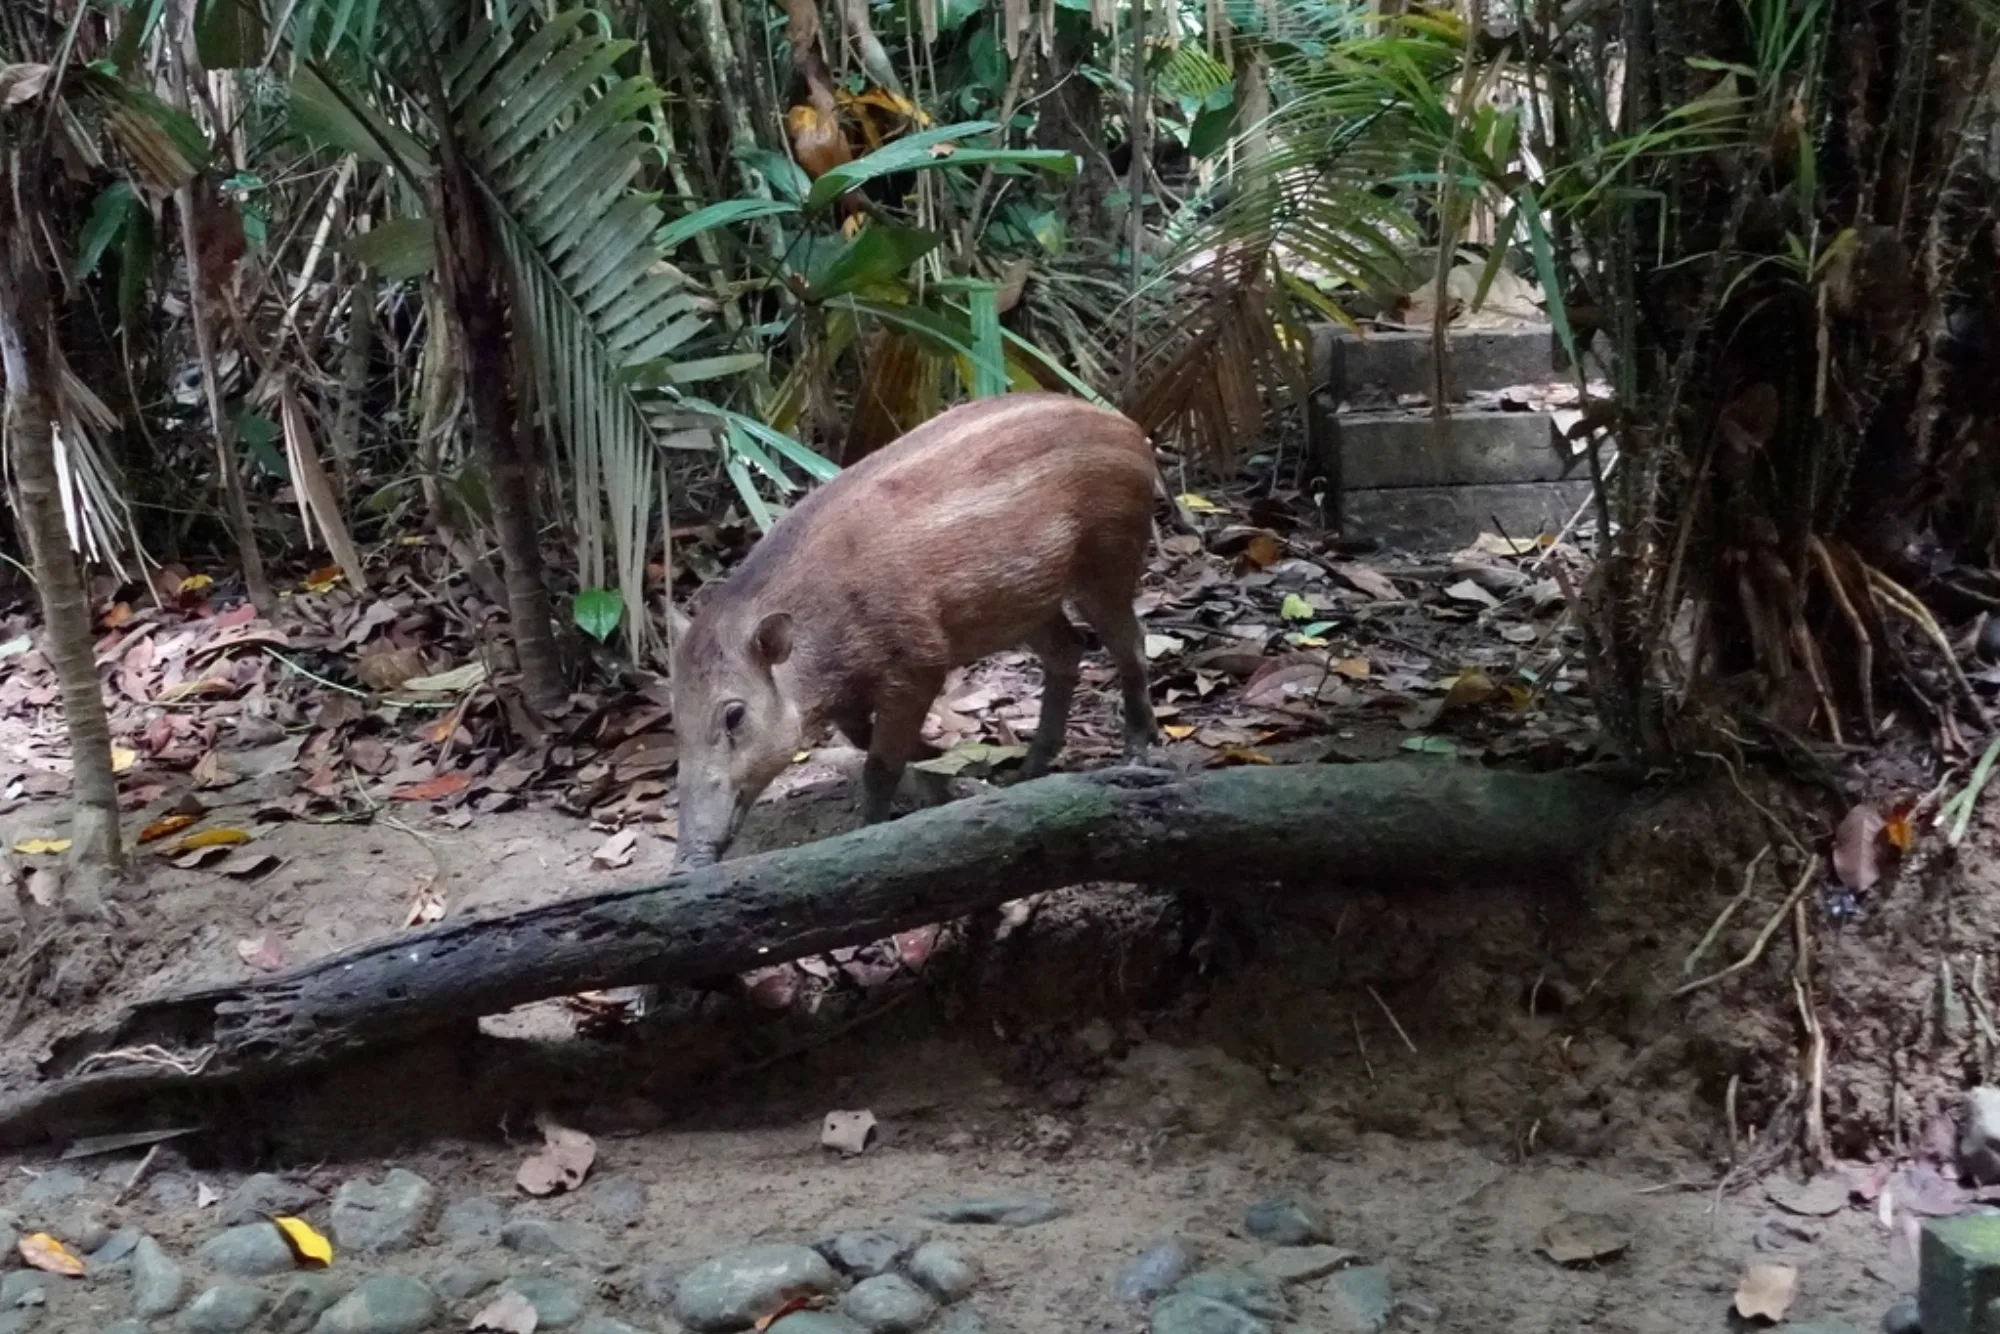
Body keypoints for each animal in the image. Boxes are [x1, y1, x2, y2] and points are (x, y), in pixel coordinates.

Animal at [667, 391, 1162, 868]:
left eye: (734, 715)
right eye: (675, 719)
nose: (687, 860)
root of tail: (1132, 430)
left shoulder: (917, 663)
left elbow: (880, 764)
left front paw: (874, 826)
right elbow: (863, 739)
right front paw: (951, 772)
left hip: (1109, 560)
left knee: (1131, 646)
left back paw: (1136, 754)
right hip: (1027, 606)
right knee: (1068, 649)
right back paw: (1027, 771)